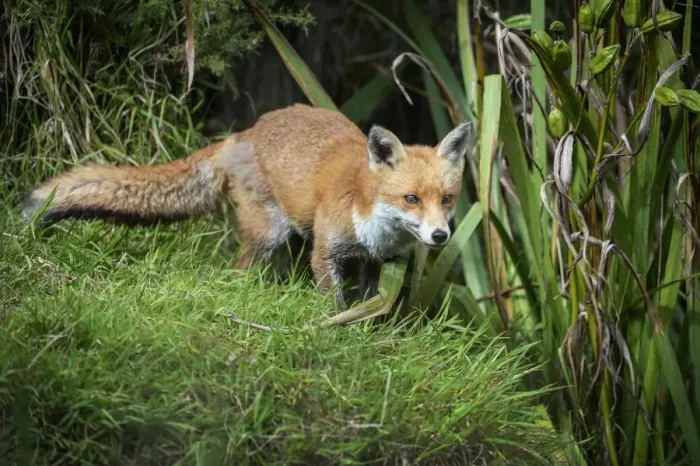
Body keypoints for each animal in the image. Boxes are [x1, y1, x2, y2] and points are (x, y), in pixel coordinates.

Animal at [24, 104, 473, 309]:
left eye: (447, 199)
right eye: (411, 199)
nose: (440, 236)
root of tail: (243, 133)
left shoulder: (376, 262)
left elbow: (369, 303)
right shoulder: (326, 253)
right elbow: (334, 304)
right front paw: (337, 331)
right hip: (268, 233)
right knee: (239, 269)